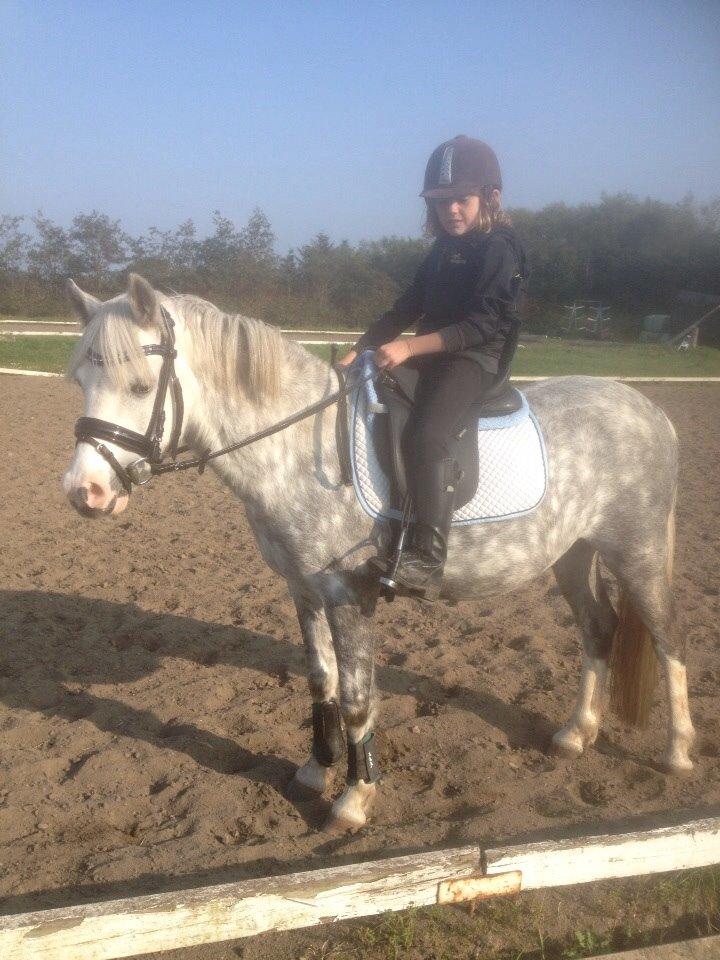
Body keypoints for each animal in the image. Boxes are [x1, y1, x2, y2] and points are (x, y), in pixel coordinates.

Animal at [62, 273, 695, 832]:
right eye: (80, 381)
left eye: (141, 386)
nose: (82, 492)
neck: (301, 448)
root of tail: (652, 412)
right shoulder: (303, 588)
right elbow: (321, 681)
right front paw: (314, 772)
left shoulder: (349, 592)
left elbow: (357, 697)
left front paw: (354, 800)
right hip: (573, 554)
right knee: (598, 628)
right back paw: (577, 732)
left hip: (636, 550)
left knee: (667, 636)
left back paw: (678, 752)